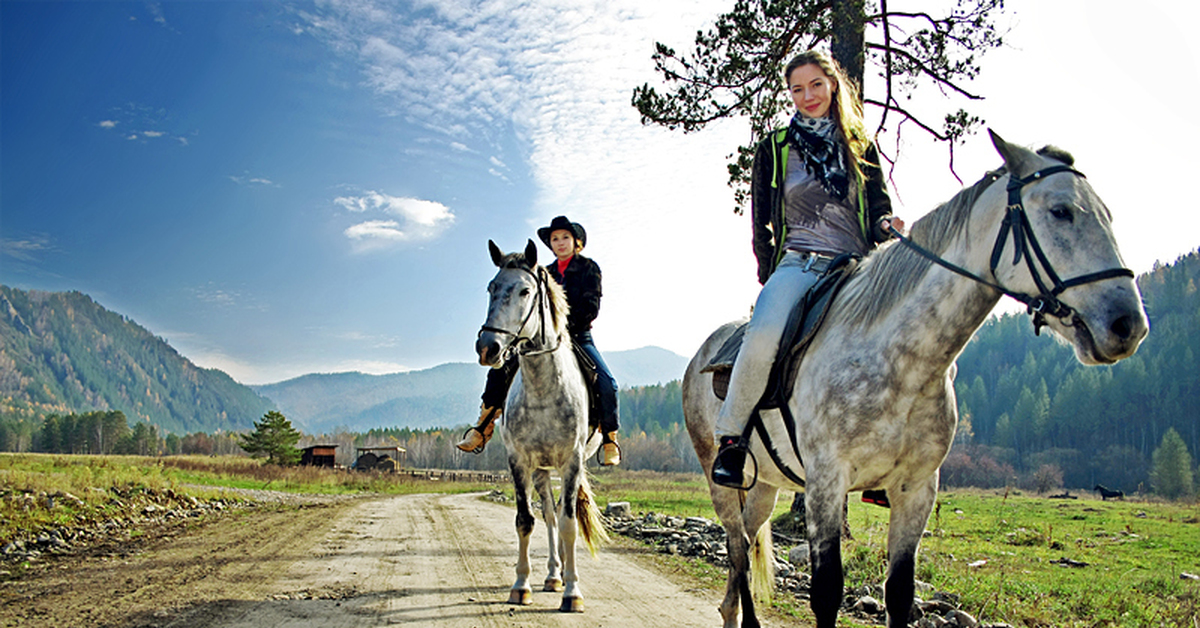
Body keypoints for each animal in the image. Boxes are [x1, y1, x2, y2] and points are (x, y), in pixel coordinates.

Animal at [475, 240, 609, 614]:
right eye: (491, 288)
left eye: (525, 291)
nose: (488, 348)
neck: (543, 389)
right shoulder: (519, 462)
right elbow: (526, 520)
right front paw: (521, 586)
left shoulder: (572, 462)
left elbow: (569, 524)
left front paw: (573, 592)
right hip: (541, 470)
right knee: (549, 514)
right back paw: (552, 574)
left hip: (564, 467)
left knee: (563, 514)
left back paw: (562, 575)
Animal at [686, 132, 1142, 628]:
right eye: (1061, 211)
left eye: (1108, 214)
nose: (1127, 324)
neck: (900, 362)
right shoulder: (826, 482)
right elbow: (826, 592)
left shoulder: (916, 489)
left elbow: (900, 592)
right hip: (722, 479)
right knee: (736, 544)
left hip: (765, 484)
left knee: (747, 542)